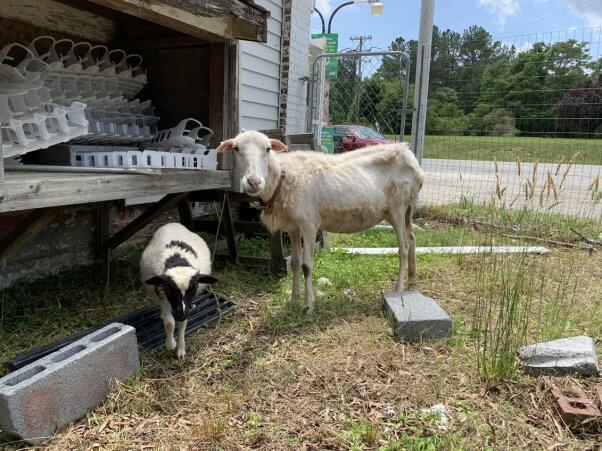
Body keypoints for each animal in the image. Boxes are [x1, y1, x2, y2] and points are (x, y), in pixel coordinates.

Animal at [139, 223, 217, 360]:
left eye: (193, 288)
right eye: (169, 288)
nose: (180, 313)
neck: (177, 261)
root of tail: (173, 224)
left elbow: (182, 324)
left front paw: (180, 350)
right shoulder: (162, 294)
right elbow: (169, 323)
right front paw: (170, 344)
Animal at [218, 130, 424, 310]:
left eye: (268, 149)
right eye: (236, 149)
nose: (253, 182)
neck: (282, 179)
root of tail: (411, 157)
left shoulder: (309, 224)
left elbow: (307, 266)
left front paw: (308, 305)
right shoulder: (293, 228)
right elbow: (295, 263)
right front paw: (293, 299)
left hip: (398, 208)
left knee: (404, 248)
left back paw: (398, 288)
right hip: (407, 209)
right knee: (412, 239)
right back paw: (412, 279)